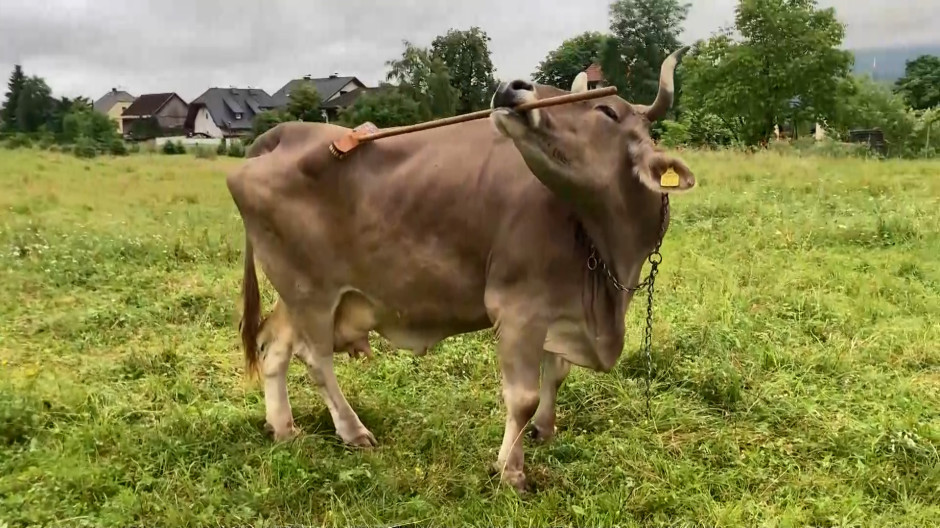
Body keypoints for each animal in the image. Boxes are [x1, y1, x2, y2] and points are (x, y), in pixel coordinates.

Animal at [225, 47, 695, 492]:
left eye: (606, 111)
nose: (512, 87)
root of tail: (285, 132)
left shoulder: (560, 307)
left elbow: (556, 373)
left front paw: (544, 430)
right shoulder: (518, 306)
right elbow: (521, 396)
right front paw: (511, 471)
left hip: (298, 291)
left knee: (274, 346)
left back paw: (284, 428)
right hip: (310, 291)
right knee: (315, 358)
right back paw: (353, 431)